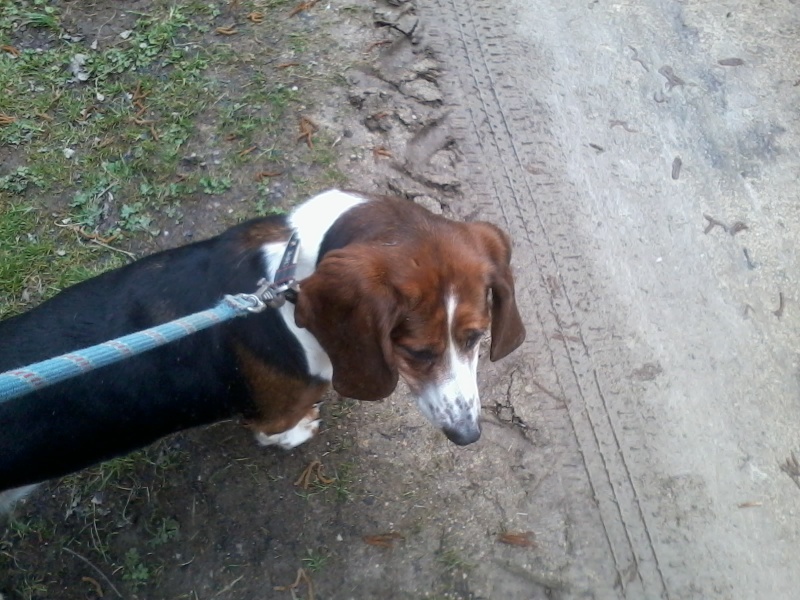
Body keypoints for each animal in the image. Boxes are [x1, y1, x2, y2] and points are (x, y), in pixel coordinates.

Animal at [0, 190, 524, 500]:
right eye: (416, 352)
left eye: (476, 337)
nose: (466, 436)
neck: (290, 275)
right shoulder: (271, 415)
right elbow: (275, 432)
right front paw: (299, 432)